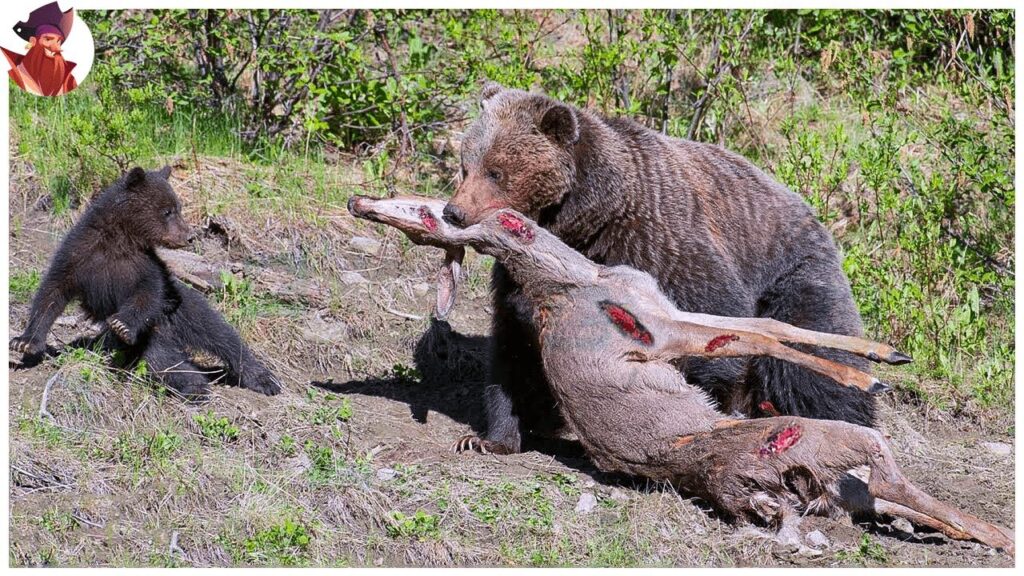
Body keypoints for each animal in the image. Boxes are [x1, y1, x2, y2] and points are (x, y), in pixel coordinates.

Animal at [10, 166, 281, 399]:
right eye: (168, 211)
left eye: (178, 208)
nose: (189, 235)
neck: (119, 239)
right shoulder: (79, 255)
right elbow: (52, 292)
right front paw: (25, 342)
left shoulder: (143, 266)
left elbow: (146, 293)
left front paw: (122, 324)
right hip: (155, 334)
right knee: (164, 357)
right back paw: (194, 384)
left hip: (183, 310)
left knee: (220, 335)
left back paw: (263, 380)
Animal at [442, 82, 873, 455]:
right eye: (466, 166)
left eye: (496, 171)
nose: (454, 212)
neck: (581, 222)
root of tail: (812, 213)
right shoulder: (522, 278)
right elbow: (515, 348)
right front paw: (489, 438)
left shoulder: (657, 240)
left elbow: (715, 317)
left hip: (793, 274)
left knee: (811, 361)